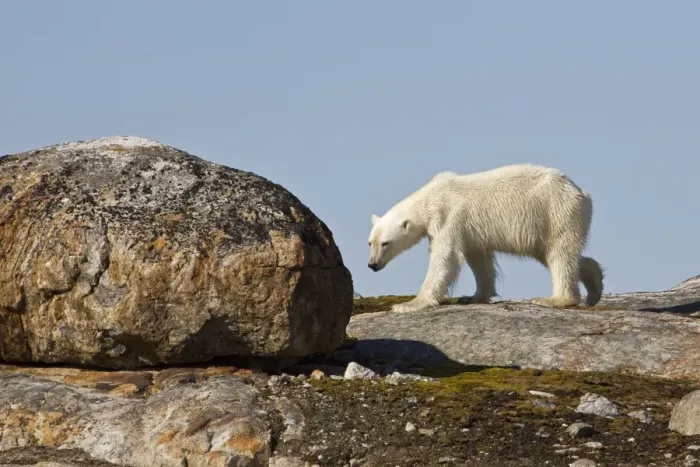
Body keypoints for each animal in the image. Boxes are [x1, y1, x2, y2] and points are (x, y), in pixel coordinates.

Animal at [367, 163, 604, 313]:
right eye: (370, 243)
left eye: (385, 243)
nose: (372, 264)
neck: (428, 197)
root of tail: (582, 193)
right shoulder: (470, 229)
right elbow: (478, 258)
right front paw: (473, 297)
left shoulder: (446, 216)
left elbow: (445, 257)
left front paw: (409, 304)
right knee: (554, 254)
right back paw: (594, 287)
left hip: (555, 213)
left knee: (559, 254)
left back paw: (555, 299)